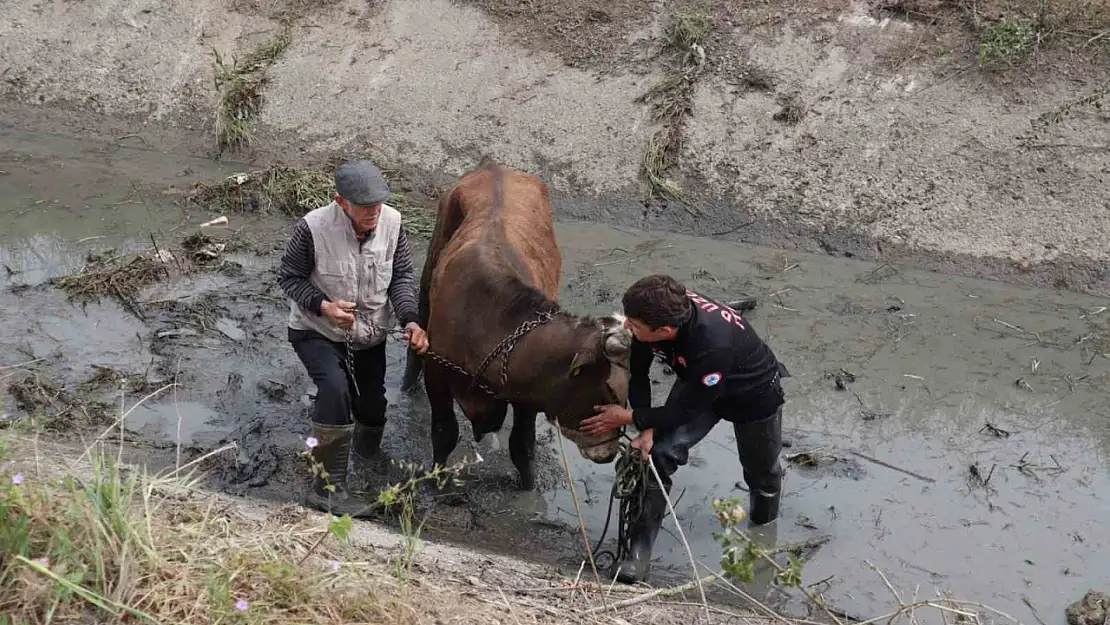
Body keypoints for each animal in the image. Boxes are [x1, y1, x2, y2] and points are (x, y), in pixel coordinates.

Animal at [399, 155, 630, 488]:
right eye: (608, 392)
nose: (609, 454)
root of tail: (492, 166)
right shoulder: (437, 374)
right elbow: (444, 433)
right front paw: (436, 479)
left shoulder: (526, 396)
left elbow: (522, 444)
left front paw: (528, 485)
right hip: (431, 264)